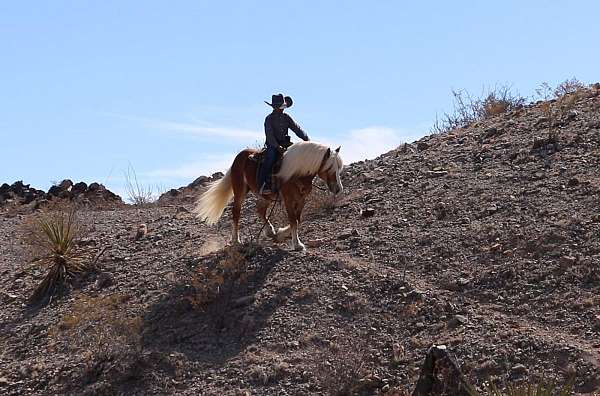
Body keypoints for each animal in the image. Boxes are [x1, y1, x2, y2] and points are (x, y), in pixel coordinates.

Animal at [195, 141, 344, 249]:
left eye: (339, 168)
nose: (338, 189)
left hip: (266, 196)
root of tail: (240, 156)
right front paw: (297, 244)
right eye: (329, 168)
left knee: (260, 209)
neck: (298, 173)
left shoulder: (301, 199)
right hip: (240, 191)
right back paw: (236, 240)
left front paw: (280, 234)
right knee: (236, 212)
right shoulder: (288, 200)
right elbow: (293, 220)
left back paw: (270, 231)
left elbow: (298, 219)